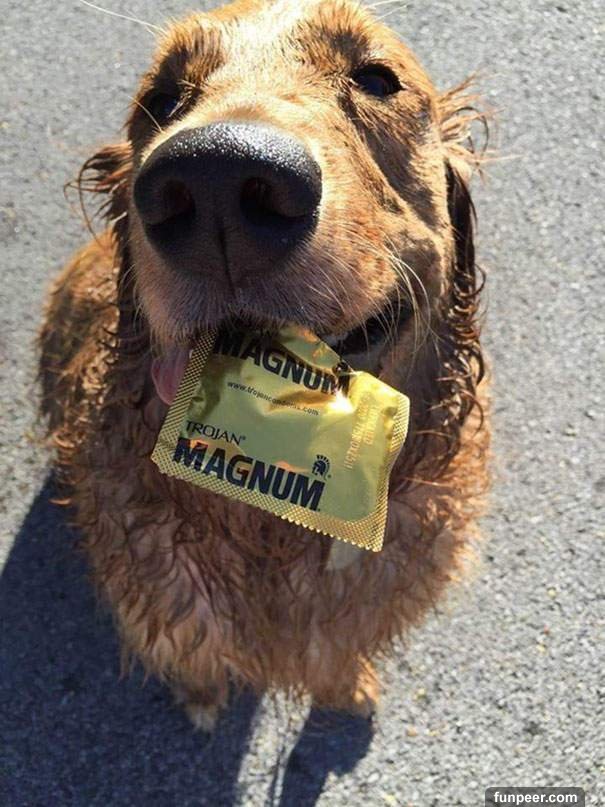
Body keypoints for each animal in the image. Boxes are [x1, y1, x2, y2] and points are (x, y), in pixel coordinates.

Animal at [39, 0, 489, 731]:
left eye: (376, 78)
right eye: (160, 97)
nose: (217, 180)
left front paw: (347, 691)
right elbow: (194, 655)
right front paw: (201, 699)